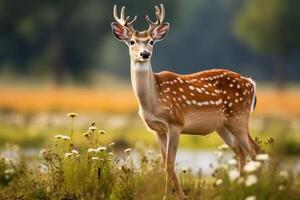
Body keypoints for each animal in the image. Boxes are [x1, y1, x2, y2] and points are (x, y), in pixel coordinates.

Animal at [111, 3, 258, 199]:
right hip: (222, 125)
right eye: (132, 41)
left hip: (239, 117)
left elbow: (169, 164)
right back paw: (238, 189)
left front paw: (167, 196)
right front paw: (182, 196)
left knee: (254, 151)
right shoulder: (157, 129)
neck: (154, 101)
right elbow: (167, 163)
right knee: (241, 151)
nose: (144, 54)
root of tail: (251, 83)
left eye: (151, 41)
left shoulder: (176, 123)